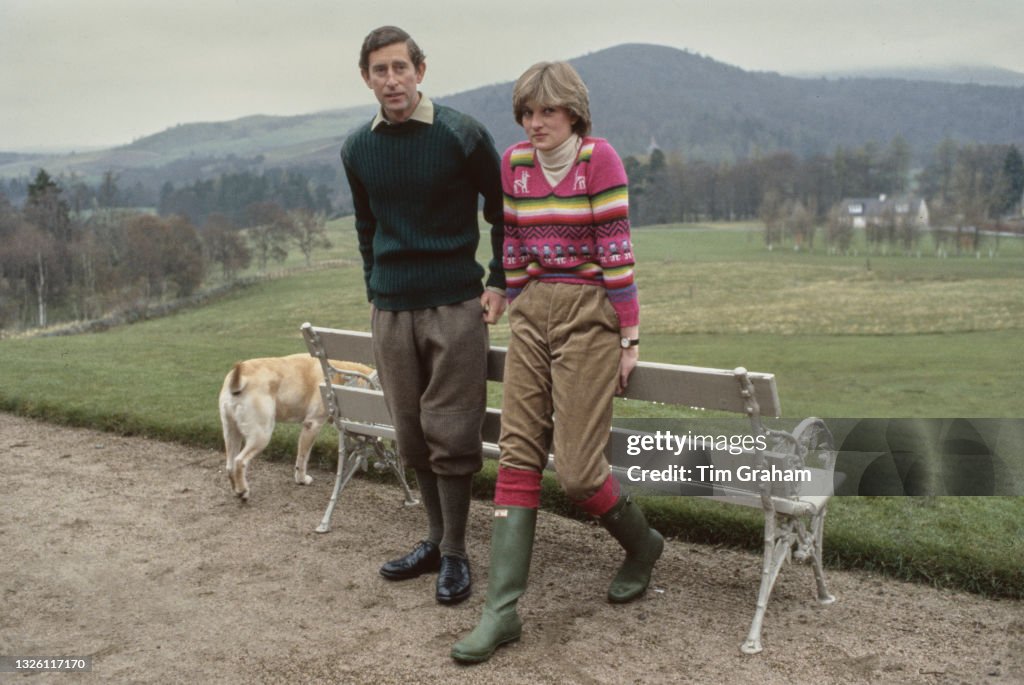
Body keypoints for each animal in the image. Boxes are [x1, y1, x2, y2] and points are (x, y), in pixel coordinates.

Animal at [220, 356, 376, 499]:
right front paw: (301, 480)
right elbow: (303, 457)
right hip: (261, 436)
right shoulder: (312, 425)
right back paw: (243, 491)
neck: (338, 374)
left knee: (230, 465)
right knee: (239, 462)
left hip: (231, 432)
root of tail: (239, 378)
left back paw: (236, 490)